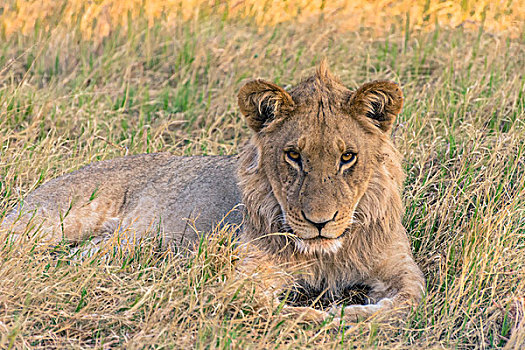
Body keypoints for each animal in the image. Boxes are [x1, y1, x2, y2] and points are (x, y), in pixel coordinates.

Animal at [2, 60, 424, 322]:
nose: (320, 223)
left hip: (114, 247)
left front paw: (354, 316)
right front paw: (330, 319)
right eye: (293, 155)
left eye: (347, 157)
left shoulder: (401, 267)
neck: (329, 254)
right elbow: (279, 310)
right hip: (47, 220)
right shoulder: (246, 275)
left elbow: (409, 301)